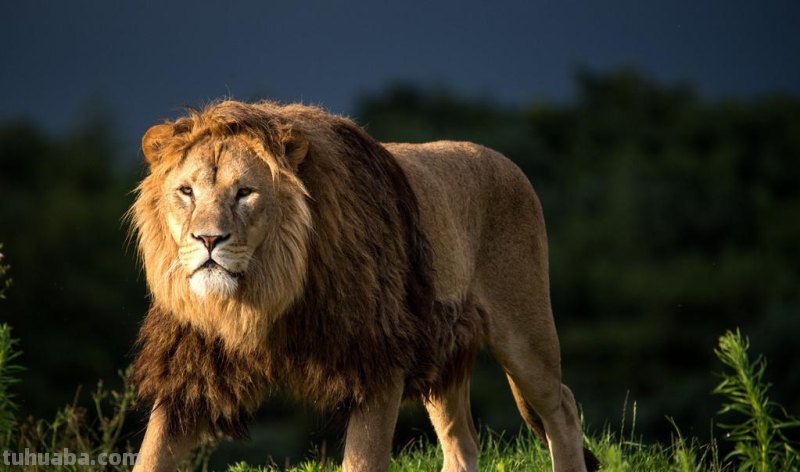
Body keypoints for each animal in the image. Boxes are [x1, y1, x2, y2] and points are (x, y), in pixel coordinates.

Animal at [128, 100, 598, 472]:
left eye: (245, 192)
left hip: (524, 334)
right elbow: (151, 455)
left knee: (562, 407)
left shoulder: (377, 360)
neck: (260, 296)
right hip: (440, 346)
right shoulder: (188, 367)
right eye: (186, 191)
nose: (208, 240)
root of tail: (506, 160)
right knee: (462, 441)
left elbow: (361, 461)